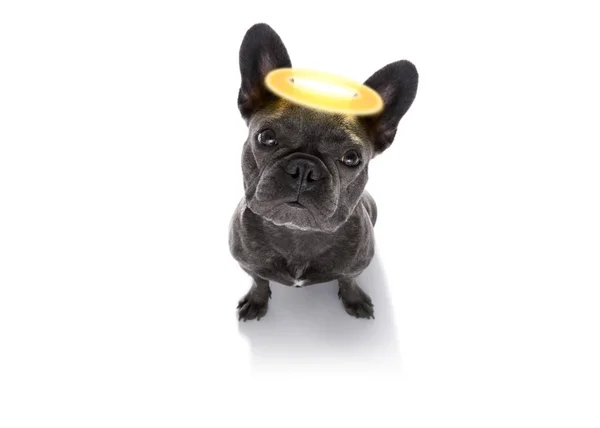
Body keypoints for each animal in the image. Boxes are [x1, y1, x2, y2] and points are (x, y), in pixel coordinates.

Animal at [227, 21, 420, 320]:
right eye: (266, 137)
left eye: (352, 158)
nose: (304, 168)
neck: (298, 233)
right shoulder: (247, 264)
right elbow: (259, 280)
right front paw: (257, 300)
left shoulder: (355, 267)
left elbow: (348, 280)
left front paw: (354, 299)